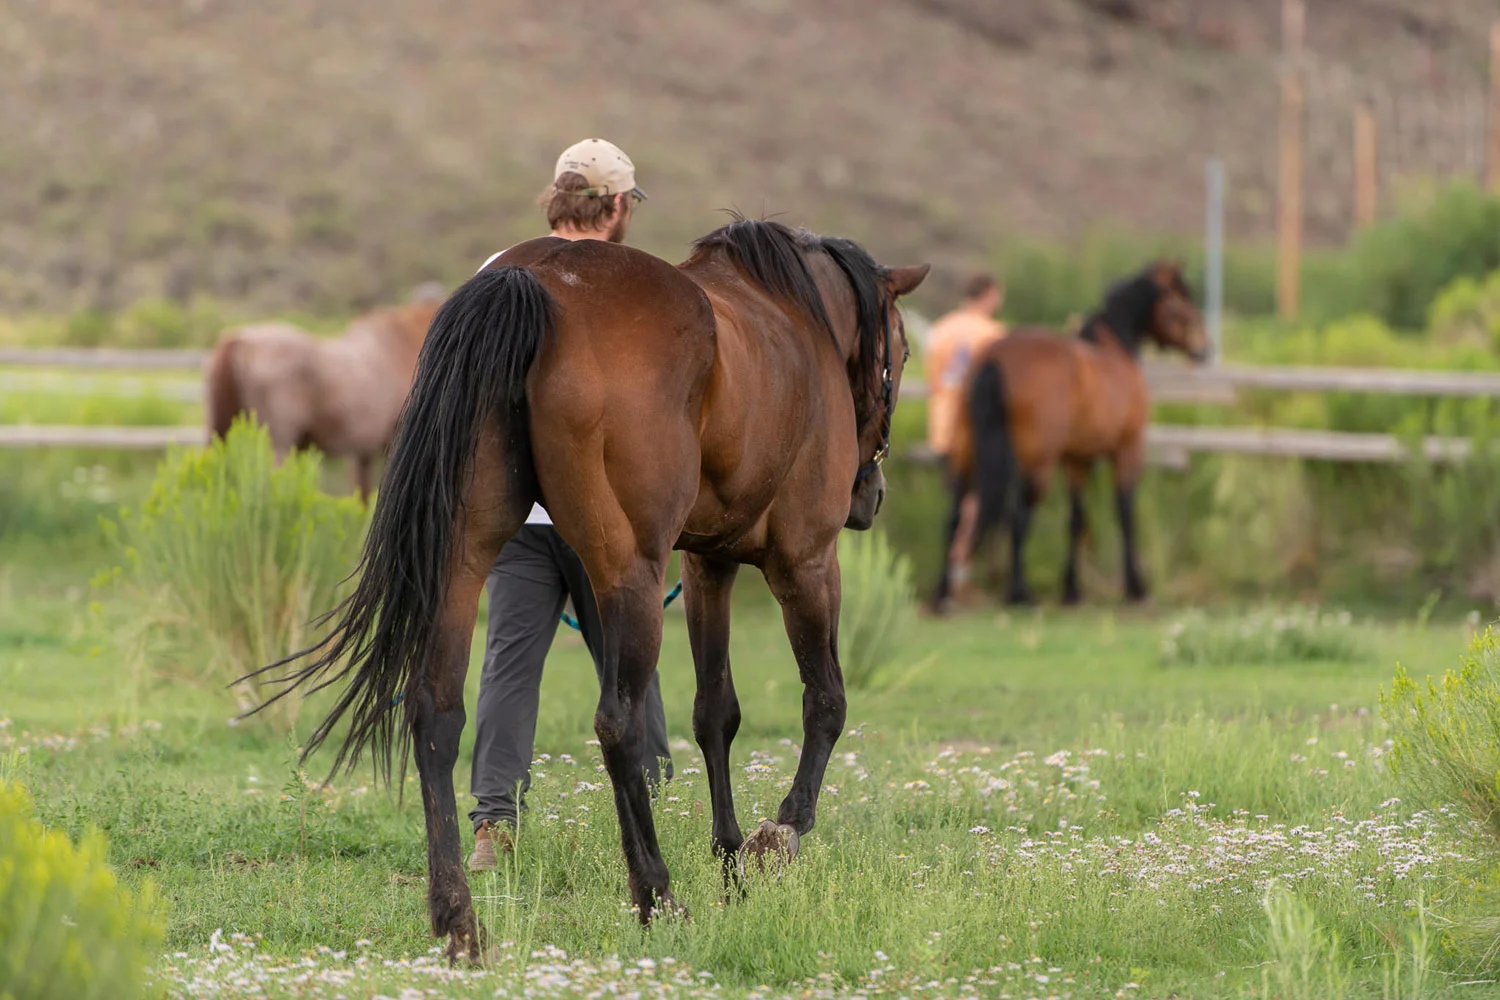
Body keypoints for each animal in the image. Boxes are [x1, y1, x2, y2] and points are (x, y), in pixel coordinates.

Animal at [242, 218, 928, 961]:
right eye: (903, 350)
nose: (871, 495)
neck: (792, 320)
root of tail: (534, 279)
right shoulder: (804, 561)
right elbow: (824, 701)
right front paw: (776, 839)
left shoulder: (706, 567)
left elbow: (715, 713)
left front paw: (728, 863)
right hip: (630, 574)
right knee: (618, 721)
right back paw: (656, 896)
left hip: (465, 557)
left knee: (437, 711)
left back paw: (460, 919)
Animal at [932, 261, 1205, 609]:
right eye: (1182, 302)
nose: (1202, 349)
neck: (1115, 353)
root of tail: (994, 359)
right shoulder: (1127, 450)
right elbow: (1124, 512)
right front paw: (1135, 587)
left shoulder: (1077, 460)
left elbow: (1076, 520)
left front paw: (1072, 590)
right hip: (1037, 464)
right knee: (1018, 517)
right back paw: (1019, 593)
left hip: (966, 454)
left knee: (954, 517)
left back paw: (943, 593)